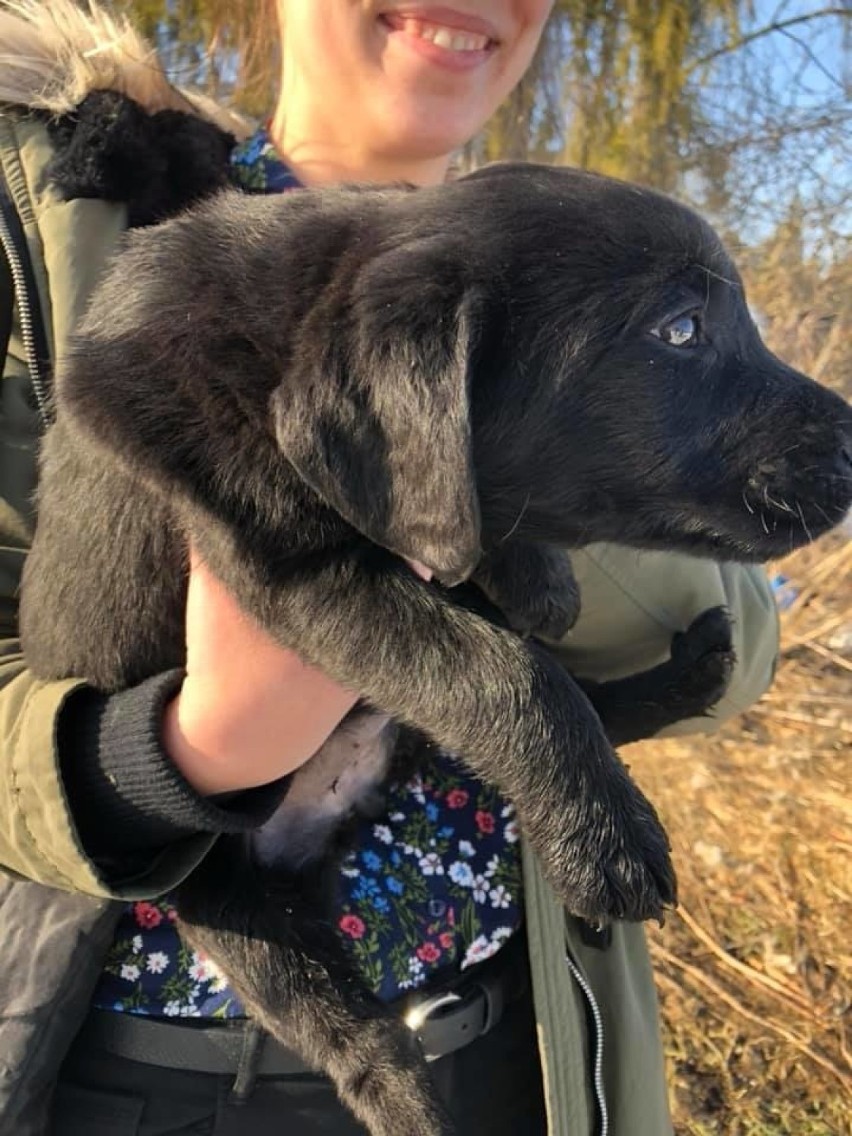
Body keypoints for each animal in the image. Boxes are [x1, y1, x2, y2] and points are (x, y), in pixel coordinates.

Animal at [20, 162, 852, 1136]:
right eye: (681, 329)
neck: (278, 331)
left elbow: (496, 578)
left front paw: (541, 579)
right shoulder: (297, 573)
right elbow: (503, 669)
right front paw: (606, 845)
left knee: (596, 706)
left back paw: (692, 671)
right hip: (223, 897)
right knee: (342, 1024)